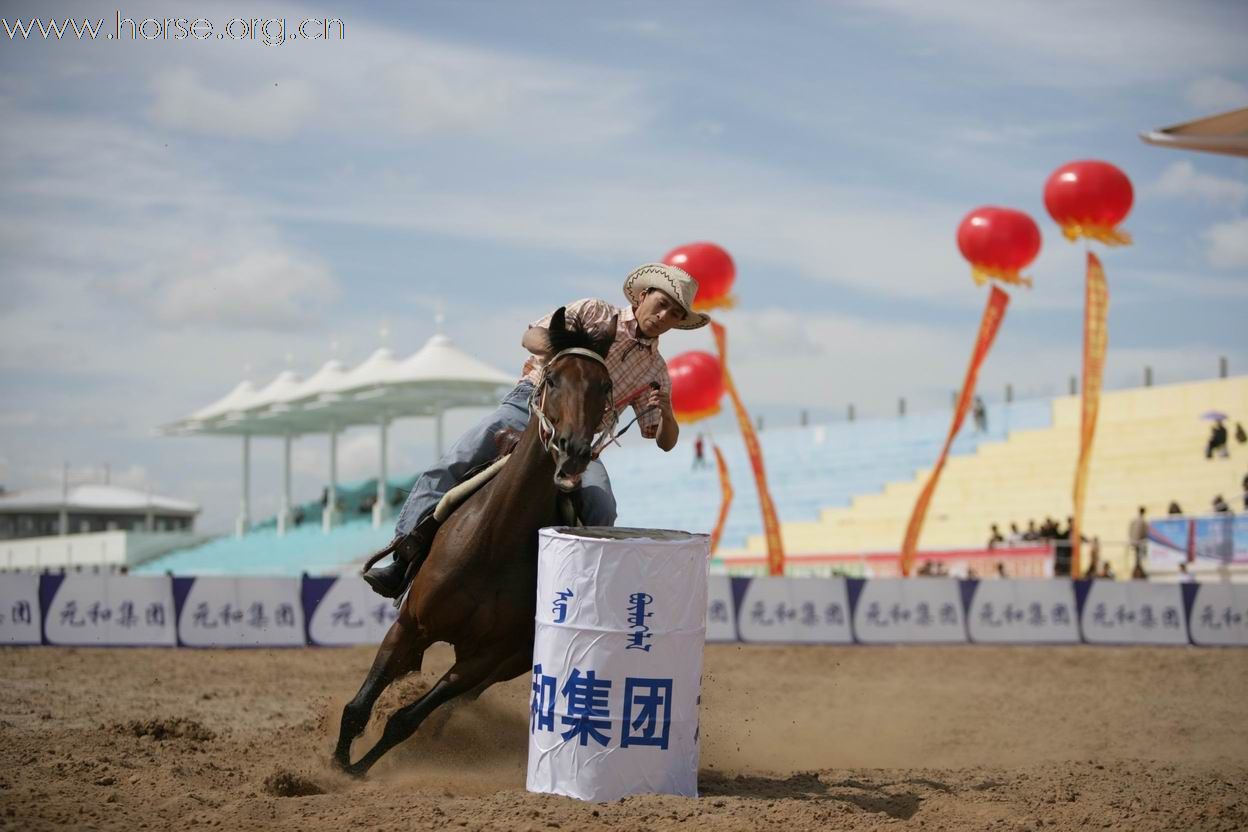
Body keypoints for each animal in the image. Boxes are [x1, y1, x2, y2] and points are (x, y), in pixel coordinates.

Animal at [334, 309, 616, 778]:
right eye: (553, 378)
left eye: (605, 385)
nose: (573, 449)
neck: (494, 543)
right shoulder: (410, 625)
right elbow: (359, 706)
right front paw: (338, 766)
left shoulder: (482, 661)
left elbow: (406, 720)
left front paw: (357, 769)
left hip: (503, 667)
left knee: (452, 708)